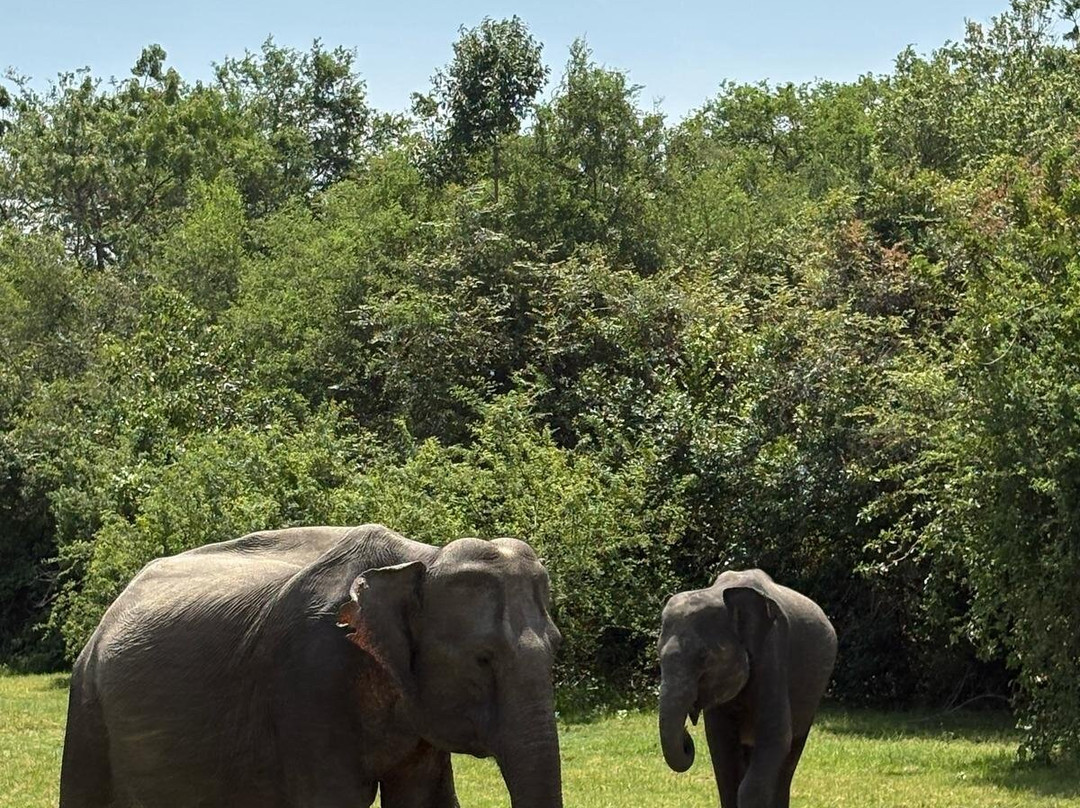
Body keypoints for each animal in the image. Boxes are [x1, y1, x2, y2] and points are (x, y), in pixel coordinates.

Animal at [59, 524, 563, 808]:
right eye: (482, 659)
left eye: (556, 647)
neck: (420, 558)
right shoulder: (309, 680)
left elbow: (422, 798)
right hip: (87, 706)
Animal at [657, 569, 836, 808]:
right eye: (658, 656)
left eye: (704, 657)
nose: (687, 737)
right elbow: (721, 746)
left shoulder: (772, 653)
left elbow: (776, 736)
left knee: (790, 758)